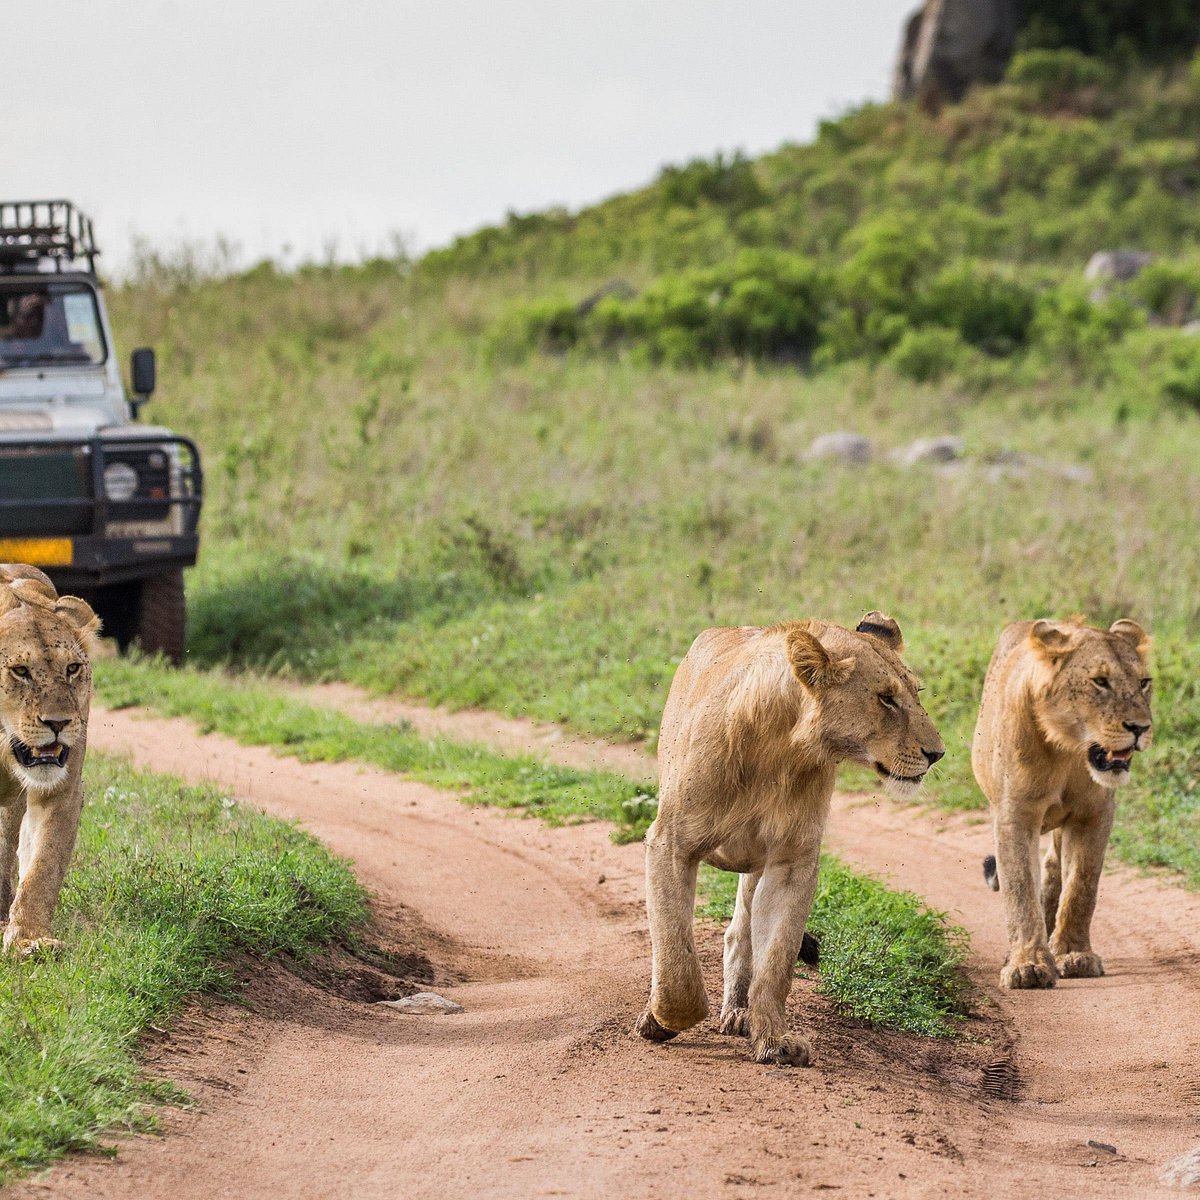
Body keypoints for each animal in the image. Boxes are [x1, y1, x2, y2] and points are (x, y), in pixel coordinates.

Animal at [0, 561, 100, 955]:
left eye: (72, 669)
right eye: (20, 671)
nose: (58, 723)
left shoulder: (61, 790)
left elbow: (44, 865)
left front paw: (30, 939)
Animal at [638, 614, 945, 1065]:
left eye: (915, 694)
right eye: (886, 698)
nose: (937, 754)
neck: (782, 748)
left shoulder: (791, 861)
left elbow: (777, 961)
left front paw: (774, 1040)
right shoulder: (671, 843)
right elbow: (676, 956)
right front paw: (661, 1021)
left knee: (740, 934)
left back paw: (739, 1012)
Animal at [974, 614, 1152, 988]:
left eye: (1144, 683)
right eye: (1100, 682)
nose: (1141, 728)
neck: (1068, 750)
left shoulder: (1094, 814)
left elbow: (1082, 885)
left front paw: (1073, 954)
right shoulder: (1015, 813)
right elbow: (1020, 888)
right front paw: (1027, 965)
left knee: (1054, 867)